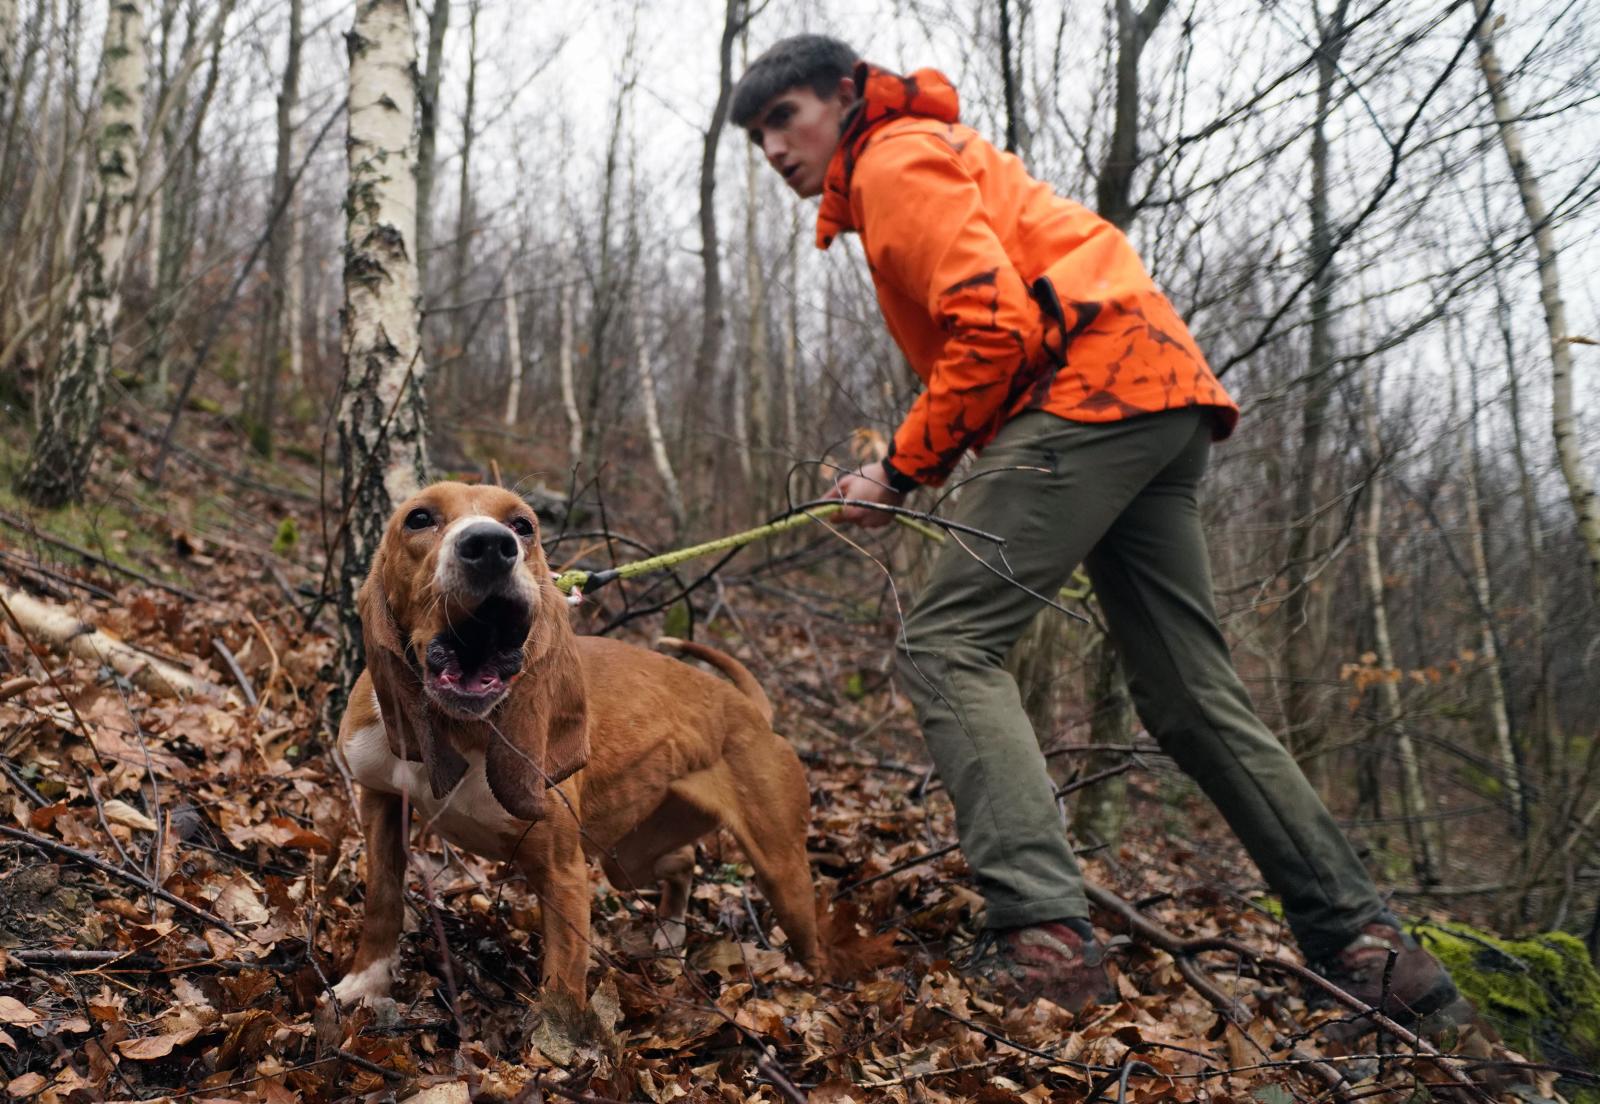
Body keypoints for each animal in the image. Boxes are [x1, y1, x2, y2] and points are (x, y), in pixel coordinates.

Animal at [329, 476, 819, 1004]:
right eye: (418, 518)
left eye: (523, 525)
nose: (491, 546)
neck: (463, 727)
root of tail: (751, 709)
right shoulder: (380, 801)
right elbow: (382, 900)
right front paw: (365, 982)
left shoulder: (562, 873)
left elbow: (562, 987)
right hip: (630, 860)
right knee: (684, 861)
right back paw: (669, 934)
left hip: (783, 875)